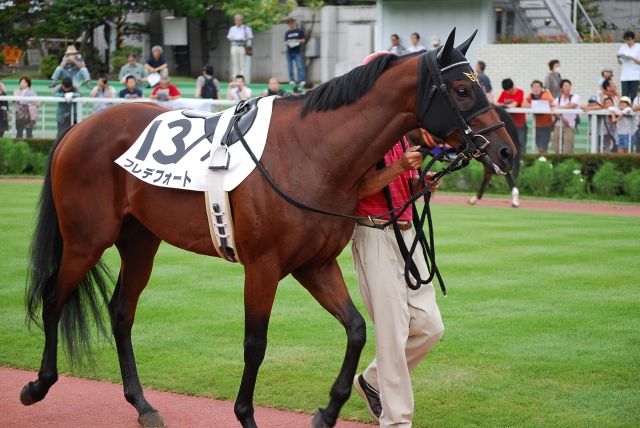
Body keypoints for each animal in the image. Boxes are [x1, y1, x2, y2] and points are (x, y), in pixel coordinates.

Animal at [21, 29, 515, 428]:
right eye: (461, 89)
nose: (507, 151)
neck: (312, 151)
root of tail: (77, 128)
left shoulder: (315, 264)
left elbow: (357, 329)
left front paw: (328, 411)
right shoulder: (263, 266)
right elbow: (255, 344)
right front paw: (246, 415)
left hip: (140, 240)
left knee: (121, 312)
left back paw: (143, 405)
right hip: (86, 240)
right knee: (53, 297)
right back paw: (38, 385)